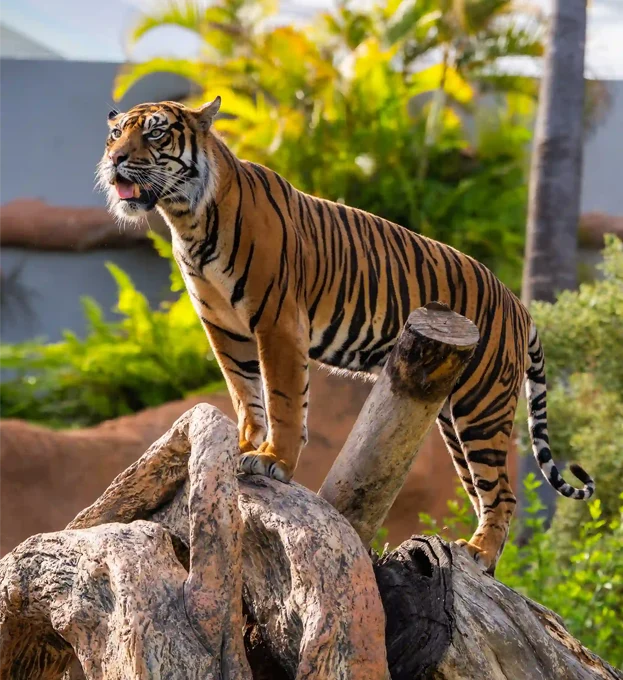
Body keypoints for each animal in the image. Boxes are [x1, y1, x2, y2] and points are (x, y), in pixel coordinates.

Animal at [98, 96, 595, 573]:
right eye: (116, 133)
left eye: (156, 133)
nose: (115, 158)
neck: (187, 217)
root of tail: (518, 303)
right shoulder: (224, 328)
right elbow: (244, 394)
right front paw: (244, 444)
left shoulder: (277, 320)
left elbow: (282, 400)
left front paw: (272, 460)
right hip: (454, 420)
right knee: (480, 491)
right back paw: (480, 561)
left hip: (482, 406)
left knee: (503, 494)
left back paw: (479, 554)